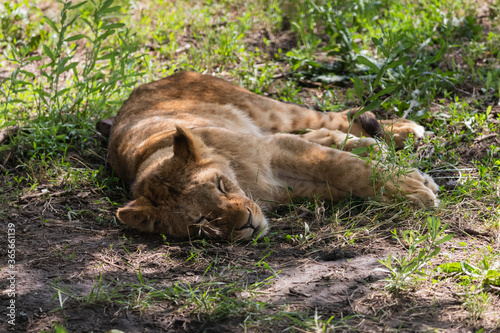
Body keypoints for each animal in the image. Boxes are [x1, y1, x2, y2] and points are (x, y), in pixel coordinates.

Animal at [108, 71, 438, 240]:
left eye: (220, 186)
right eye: (201, 221)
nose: (247, 224)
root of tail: (155, 79)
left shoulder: (275, 151)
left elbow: (348, 169)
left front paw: (413, 189)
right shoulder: (287, 184)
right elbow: (346, 176)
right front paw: (411, 183)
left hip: (270, 111)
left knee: (340, 116)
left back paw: (404, 131)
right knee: (328, 133)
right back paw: (371, 145)